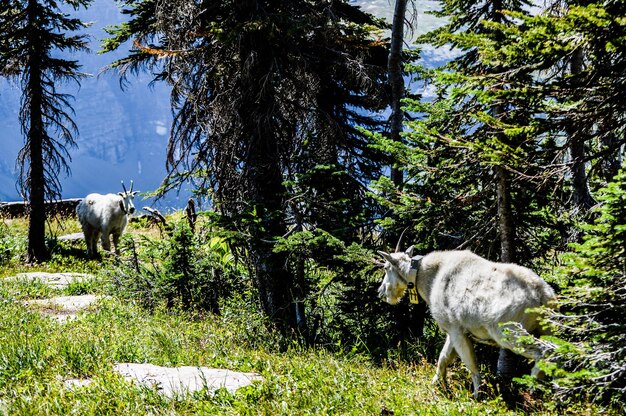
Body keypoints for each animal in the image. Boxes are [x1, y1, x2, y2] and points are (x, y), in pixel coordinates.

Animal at [378, 245, 552, 398]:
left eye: (386, 267)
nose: (381, 292)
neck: (429, 278)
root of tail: (543, 295)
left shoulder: (457, 330)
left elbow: (471, 365)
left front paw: (477, 395)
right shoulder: (452, 332)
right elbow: (443, 358)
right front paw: (436, 384)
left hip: (510, 332)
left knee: (544, 351)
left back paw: (533, 385)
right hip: (545, 329)